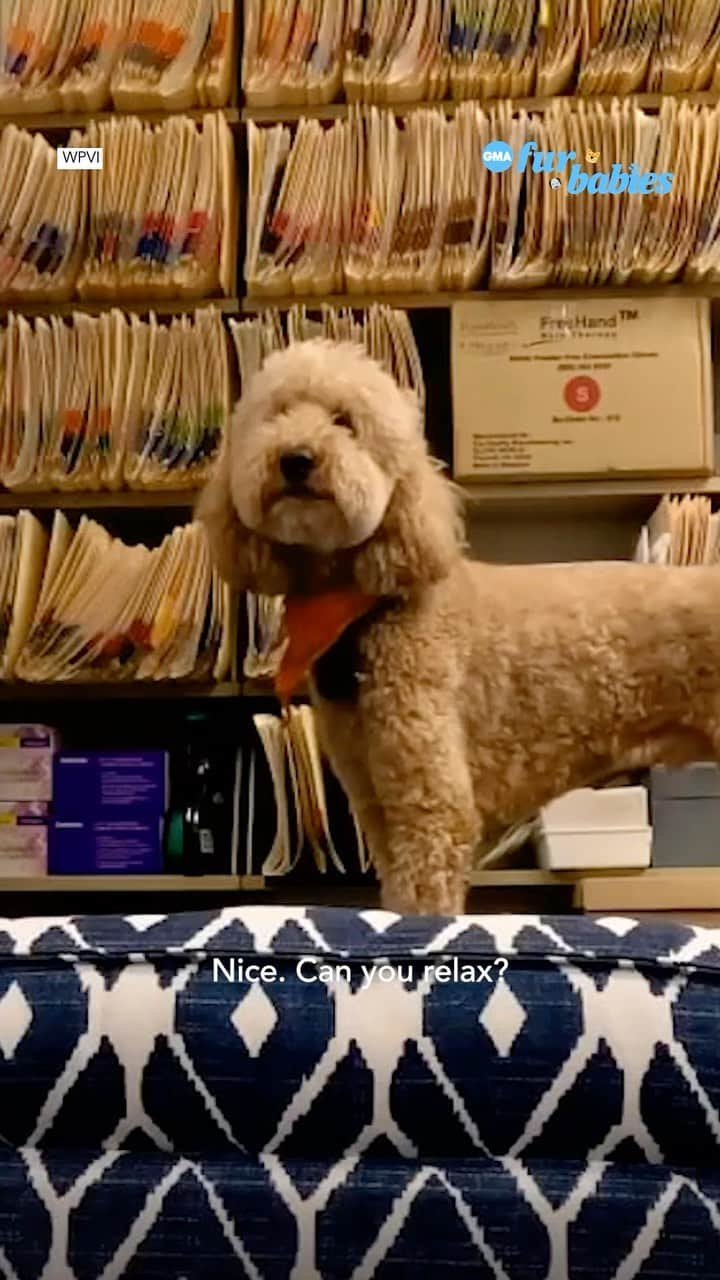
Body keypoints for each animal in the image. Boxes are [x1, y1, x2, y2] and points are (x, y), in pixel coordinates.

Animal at [197, 340, 717, 916]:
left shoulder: (432, 803)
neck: (359, 607)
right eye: (277, 415)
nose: (295, 458)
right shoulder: (377, 800)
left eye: (345, 421)